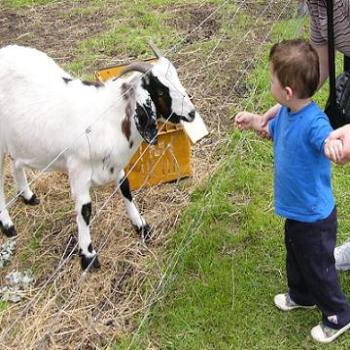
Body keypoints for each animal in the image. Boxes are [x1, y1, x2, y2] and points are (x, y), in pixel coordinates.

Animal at [0, 43, 197, 268]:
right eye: (161, 90)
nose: (192, 113)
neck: (108, 117)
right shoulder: (78, 169)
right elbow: (85, 210)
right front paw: (88, 255)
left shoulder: (116, 165)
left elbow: (126, 189)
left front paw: (141, 226)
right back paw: (7, 225)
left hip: (18, 139)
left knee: (15, 162)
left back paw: (28, 195)